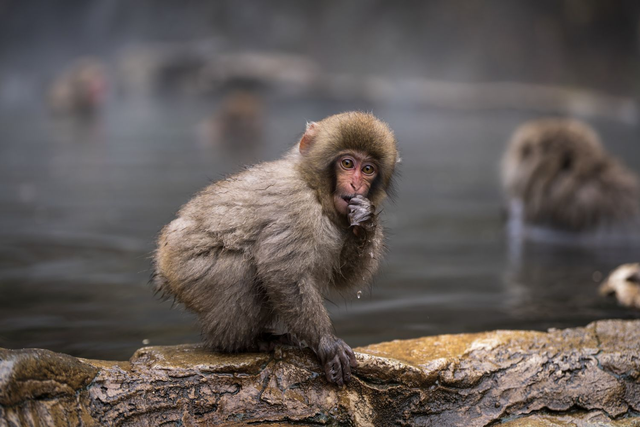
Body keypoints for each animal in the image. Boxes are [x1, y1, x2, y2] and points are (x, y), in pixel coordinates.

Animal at [153, 111, 399, 386]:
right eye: (347, 163)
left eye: (367, 169)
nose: (357, 186)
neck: (313, 186)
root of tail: (162, 266)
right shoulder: (295, 204)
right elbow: (284, 273)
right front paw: (326, 343)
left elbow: (342, 275)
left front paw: (366, 220)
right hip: (189, 271)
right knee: (242, 269)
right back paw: (242, 343)